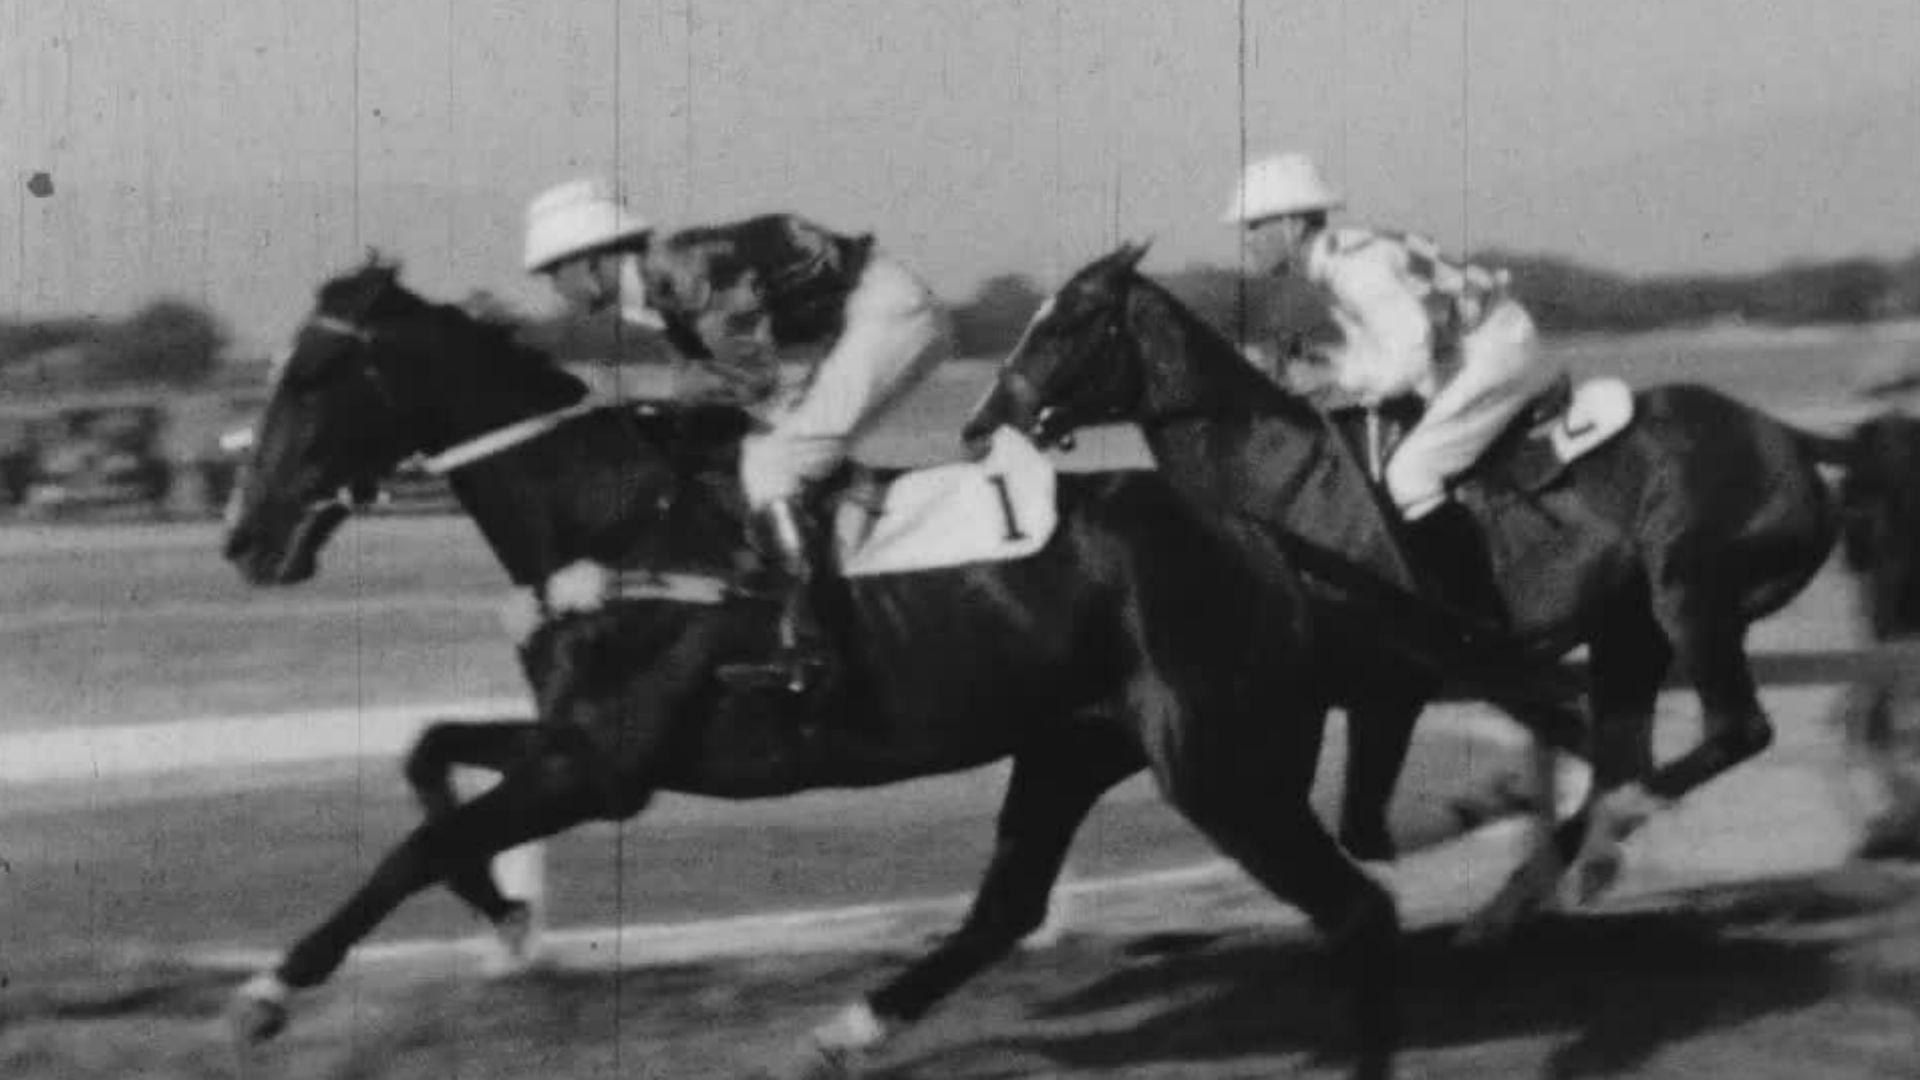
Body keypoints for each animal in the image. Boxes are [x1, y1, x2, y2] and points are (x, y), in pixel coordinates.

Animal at [222, 254, 1441, 1079]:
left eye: (316, 374)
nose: (245, 539)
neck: (613, 516)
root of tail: (1263, 540)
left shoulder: (603, 769)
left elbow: (417, 845)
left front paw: (269, 992)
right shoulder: (583, 743)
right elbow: (427, 758)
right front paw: (505, 915)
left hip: (1222, 766)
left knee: (1358, 915)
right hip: (1074, 744)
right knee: (1006, 906)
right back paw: (847, 1028)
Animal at [962, 240, 1862, 908]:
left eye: (1069, 321)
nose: (980, 422)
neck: (1279, 477)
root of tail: (1788, 436)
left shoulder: (1389, 684)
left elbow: (1364, 825)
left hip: (1692, 597)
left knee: (1730, 733)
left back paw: (1575, 857)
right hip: (1629, 629)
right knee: (1629, 753)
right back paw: (1533, 888)